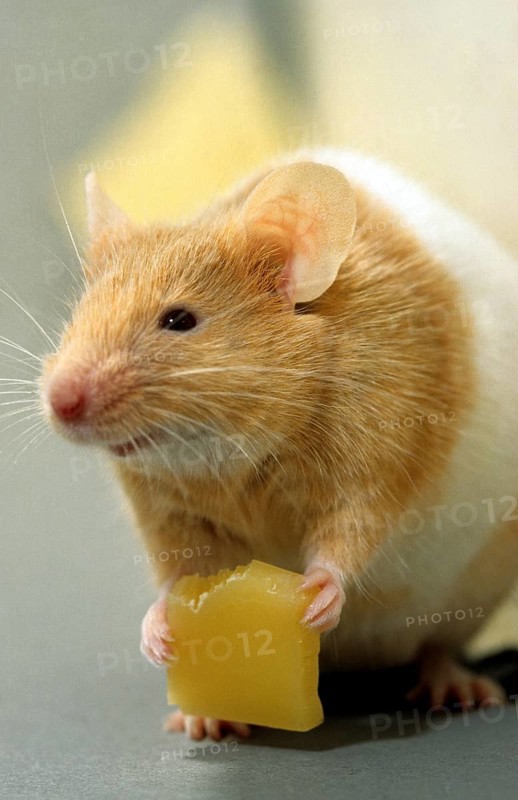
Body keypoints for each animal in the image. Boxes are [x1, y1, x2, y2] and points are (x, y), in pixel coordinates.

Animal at [39, 147, 518, 741]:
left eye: (179, 320)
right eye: (77, 316)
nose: (58, 401)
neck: (233, 451)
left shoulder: (381, 452)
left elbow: (350, 532)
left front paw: (320, 595)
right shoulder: (165, 510)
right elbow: (175, 570)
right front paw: (156, 630)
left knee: (436, 644)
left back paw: (454, 685)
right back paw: (204, 717)